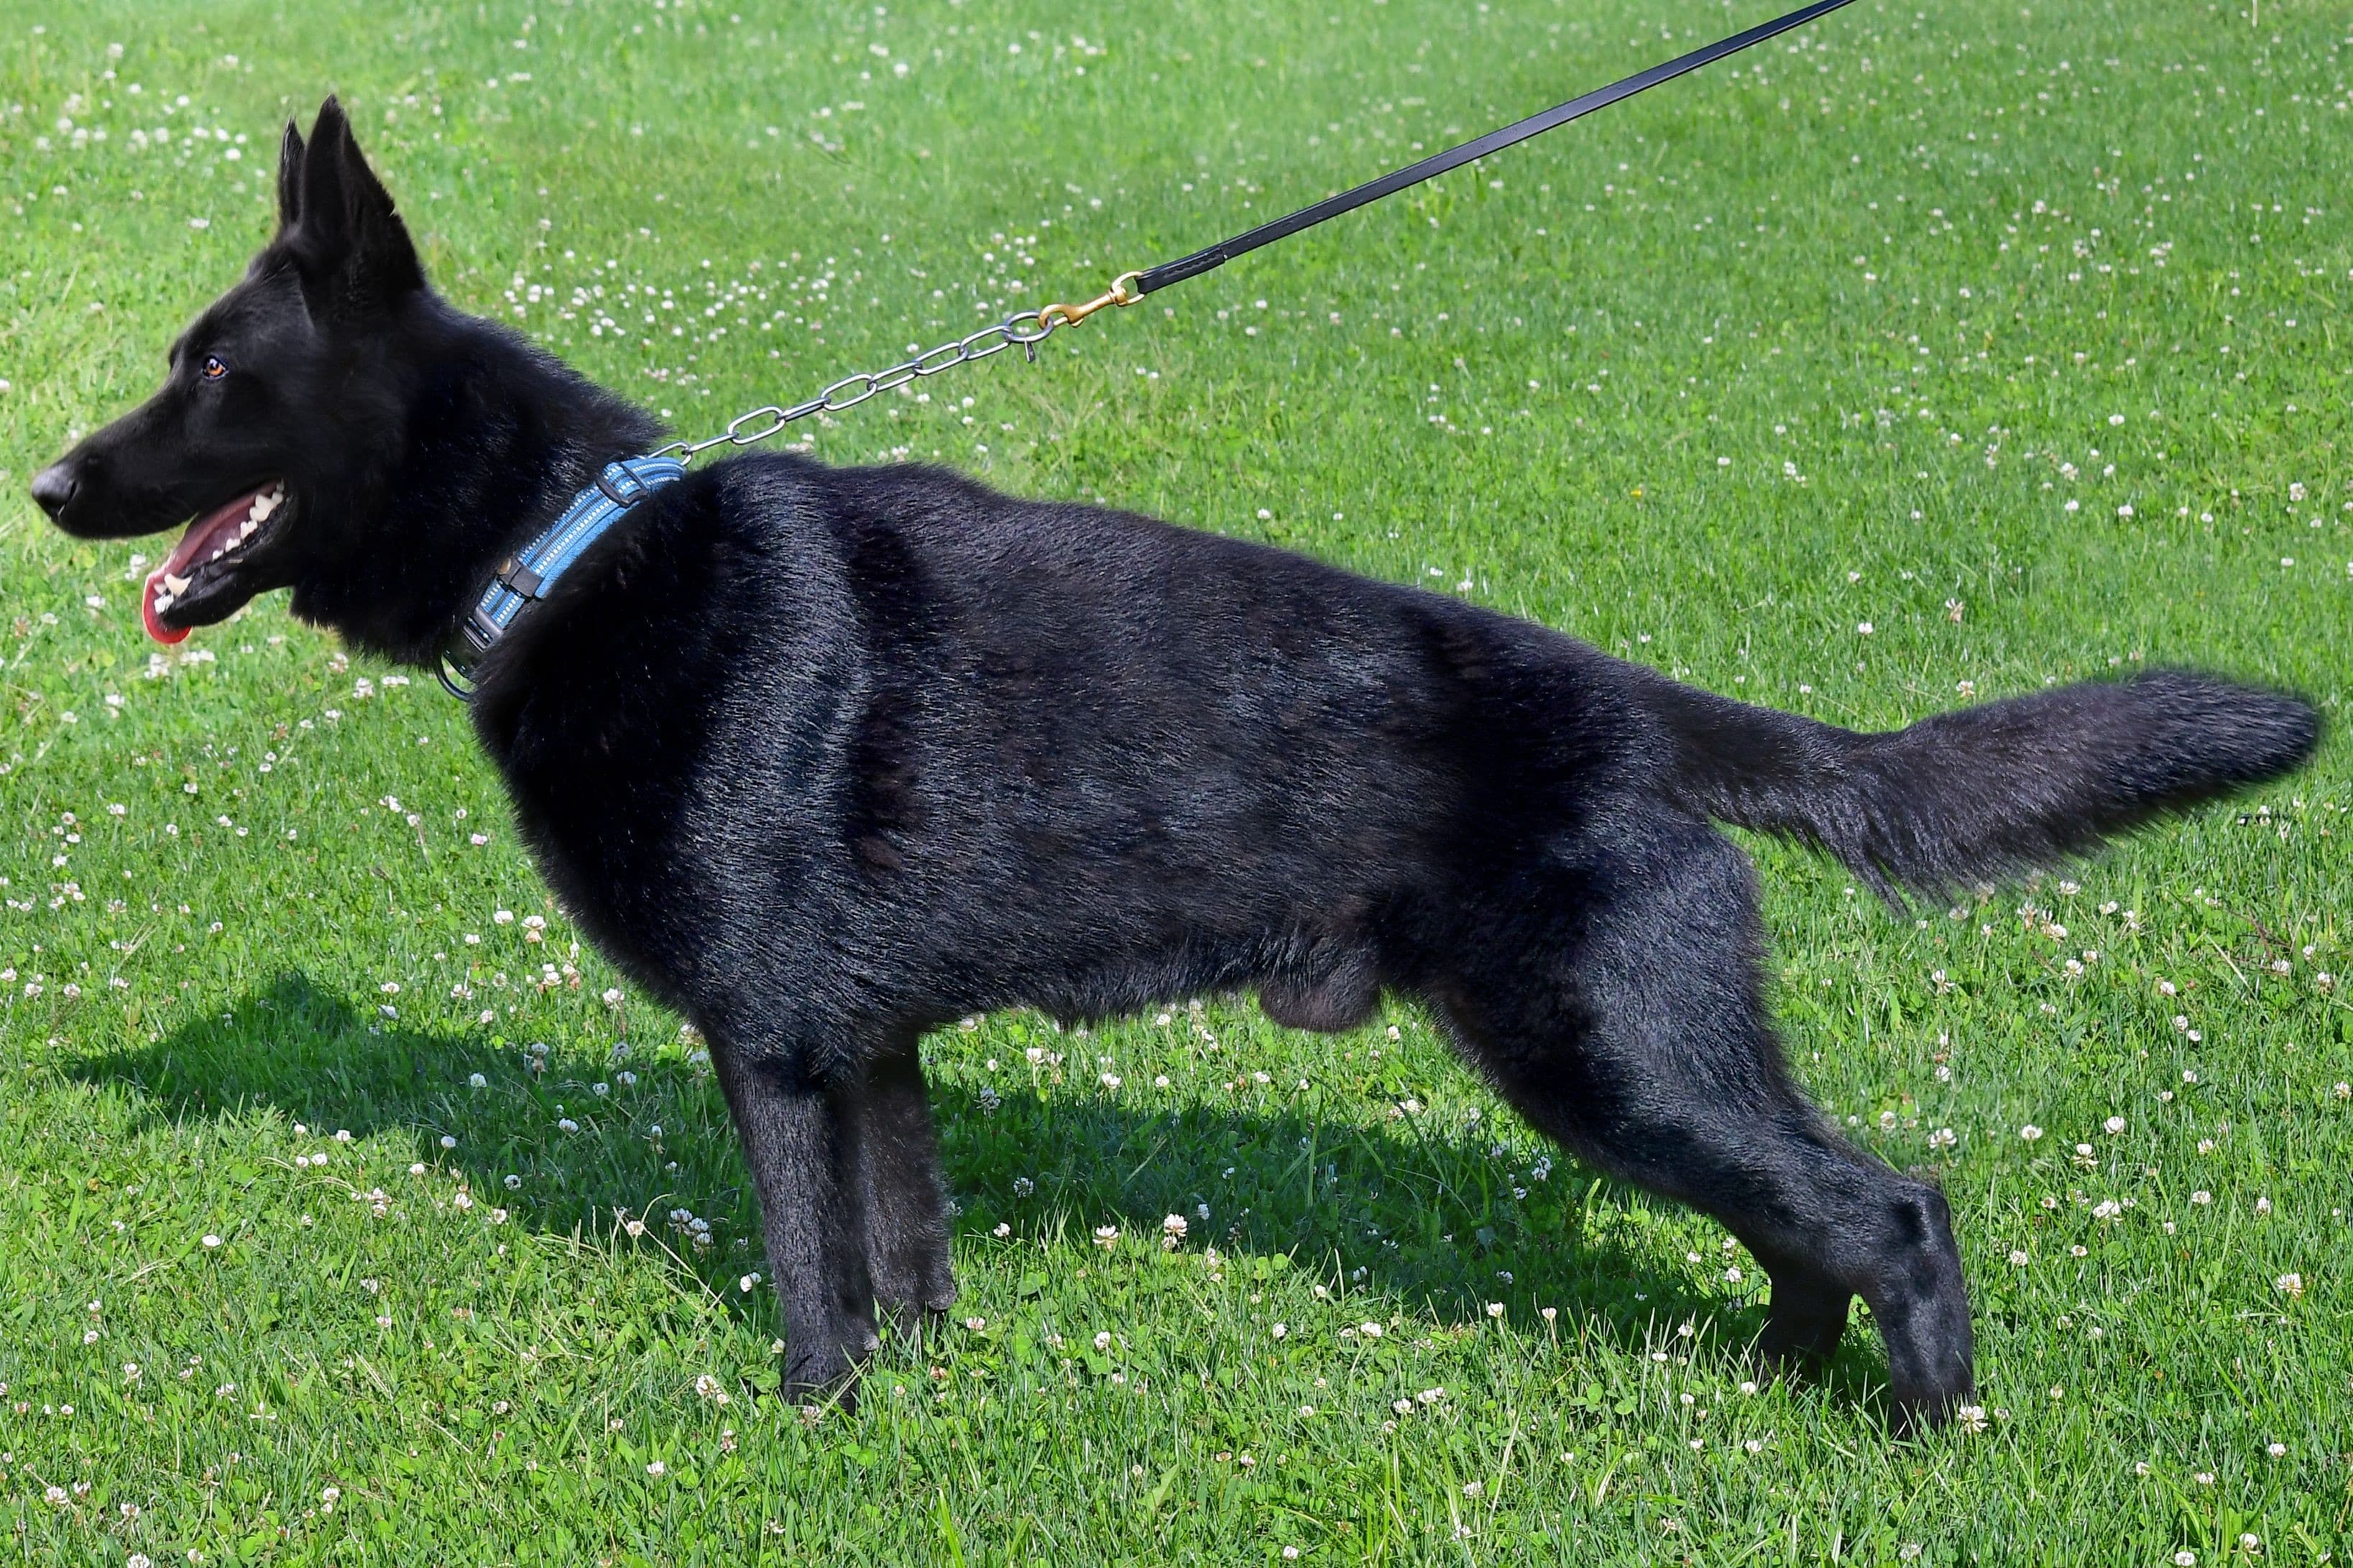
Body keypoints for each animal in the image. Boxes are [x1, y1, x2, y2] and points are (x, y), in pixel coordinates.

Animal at [32, 97, 2315, 1412]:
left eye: (208, 373)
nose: (46, 484)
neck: (568, 547)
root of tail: (1636, 701)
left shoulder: (768, 1047)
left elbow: (807, 1283)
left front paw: (808, 1427)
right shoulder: (870, 1047)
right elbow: (907, 1255)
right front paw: (920, 1406)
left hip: (1603, 1054)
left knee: (1889, 1208)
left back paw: (1918, 1432)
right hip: (1633, 1068)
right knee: (1804, 1223)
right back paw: (1768, 1384)